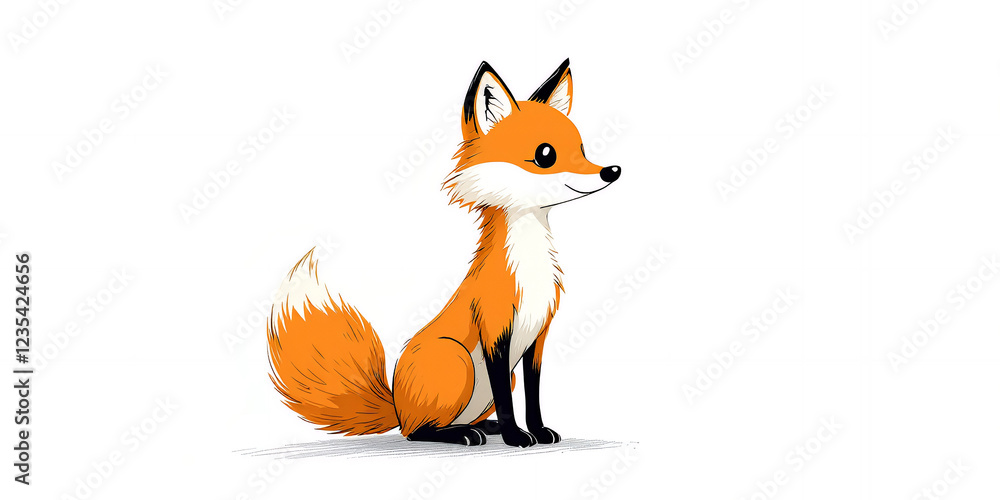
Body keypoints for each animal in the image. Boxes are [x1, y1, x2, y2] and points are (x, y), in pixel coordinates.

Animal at [266, 59, 621, 447]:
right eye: (546, 155)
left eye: (582, 150)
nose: (612, 171)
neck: (530, 269)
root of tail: (396, 403)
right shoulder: (495, 331)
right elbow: (506, 398)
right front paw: (516, 436)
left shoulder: (537, 337)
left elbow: (533, 395)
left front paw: (538, 430)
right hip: (456, 359)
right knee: (416, 433)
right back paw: (462, 434)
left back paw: (483, 427)